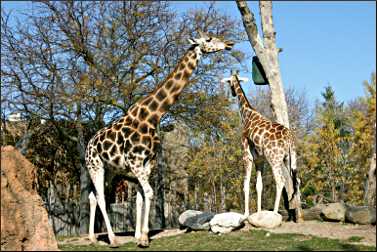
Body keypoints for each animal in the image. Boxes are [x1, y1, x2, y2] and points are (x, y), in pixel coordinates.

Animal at [85, 31, 232, 246]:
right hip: (95, 166)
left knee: (94, 195)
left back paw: (92, 237)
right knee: (101, 197)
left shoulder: (148, 164)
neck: (153, 116)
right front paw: (144, 238)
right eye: (208, 39)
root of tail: (88, 144)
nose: (229, 44)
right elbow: (149, 193)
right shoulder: (136, 162)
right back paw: (112, 239)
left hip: (111, 171)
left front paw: (140, 236)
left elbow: (143, 197)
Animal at [220, 70, 302, 220]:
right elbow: (259, 186)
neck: (247, 115)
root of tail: (290, 139)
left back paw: (275, 213)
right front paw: (258, 213)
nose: (233, 93)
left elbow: (246, 184)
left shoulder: (246, 156)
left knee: (280, 181)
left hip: (274, 159)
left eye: (229, 82)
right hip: (289, 158)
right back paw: (296, 213)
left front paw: (245, 214)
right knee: (296, 180)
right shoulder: (260, 160)